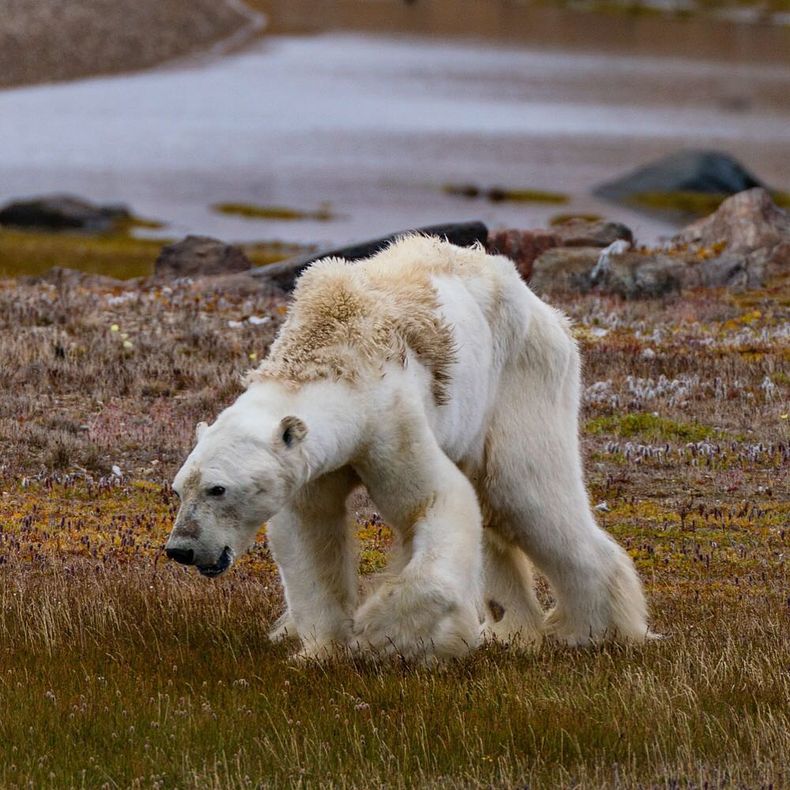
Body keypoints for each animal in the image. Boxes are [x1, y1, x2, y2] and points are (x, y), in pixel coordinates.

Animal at [165, 235, 650, 661]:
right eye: (179, 488)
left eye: (218, 489)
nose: (180, 549)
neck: (332, 351)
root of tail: (547, 311)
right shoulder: (312, 464)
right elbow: (310, 532)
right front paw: (320, 649)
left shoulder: (390, 420)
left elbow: (436, 501)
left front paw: (383, 635)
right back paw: (512, 629)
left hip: (521, 379)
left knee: (527, 494)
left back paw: (593, 630)